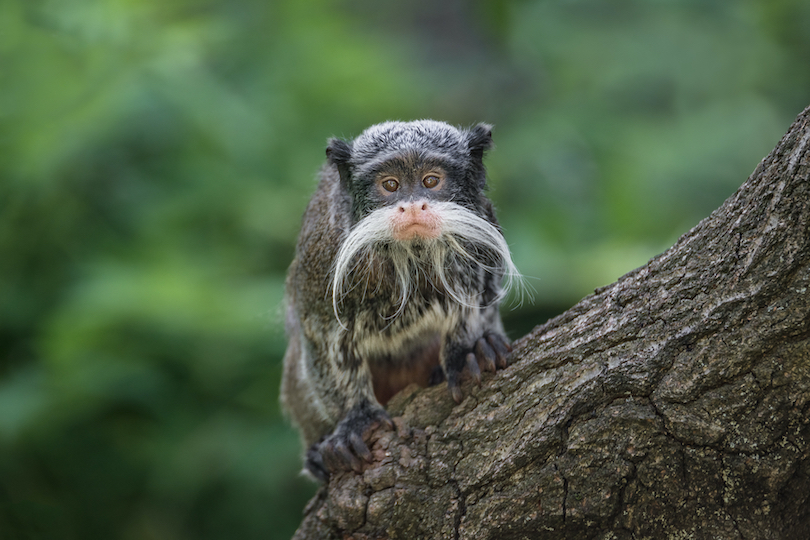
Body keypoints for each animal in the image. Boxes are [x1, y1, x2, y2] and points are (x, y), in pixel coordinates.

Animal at [280, 119, 516, 480]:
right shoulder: (320, 263)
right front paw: (355, 419)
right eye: (390, 185)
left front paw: (468, 351)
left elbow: (477, 301)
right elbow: (320, 339)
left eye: (430, 181)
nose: (413, 205)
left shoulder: (482, 233)